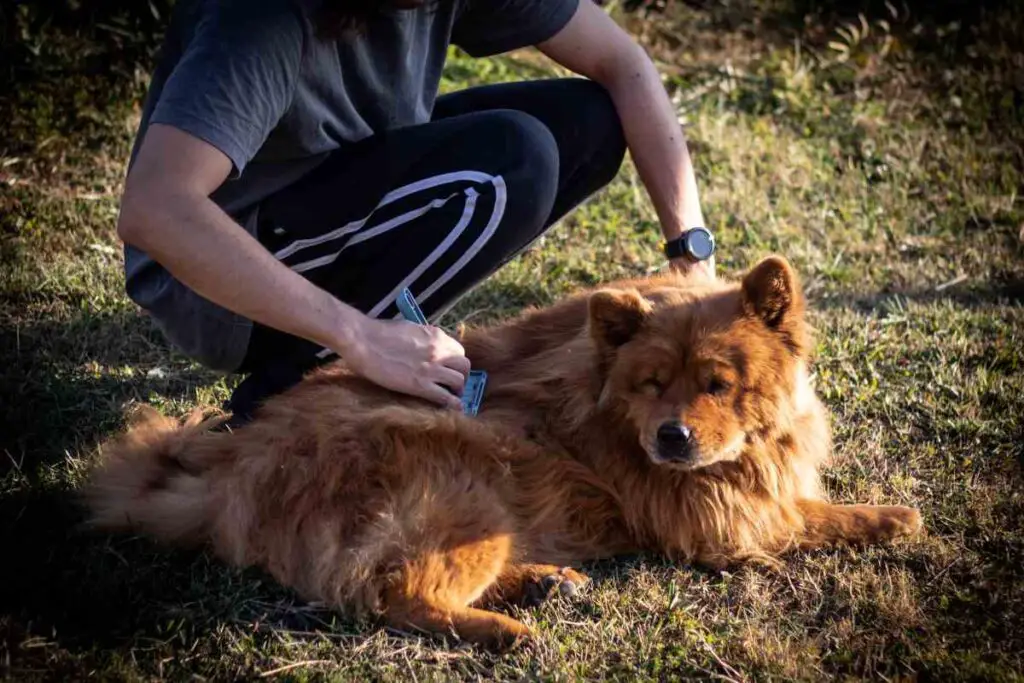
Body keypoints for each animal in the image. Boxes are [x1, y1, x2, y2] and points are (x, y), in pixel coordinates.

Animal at [83, 254, 925, 647]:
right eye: (653, 383)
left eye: (718, 383)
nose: (673, 435)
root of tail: (229, 472)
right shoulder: (719, 518)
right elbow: (812, 516)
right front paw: (891, 515)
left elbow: (805, 498)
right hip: (469, 474)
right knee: (394, 594)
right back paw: (507, 630)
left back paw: (546, 582)